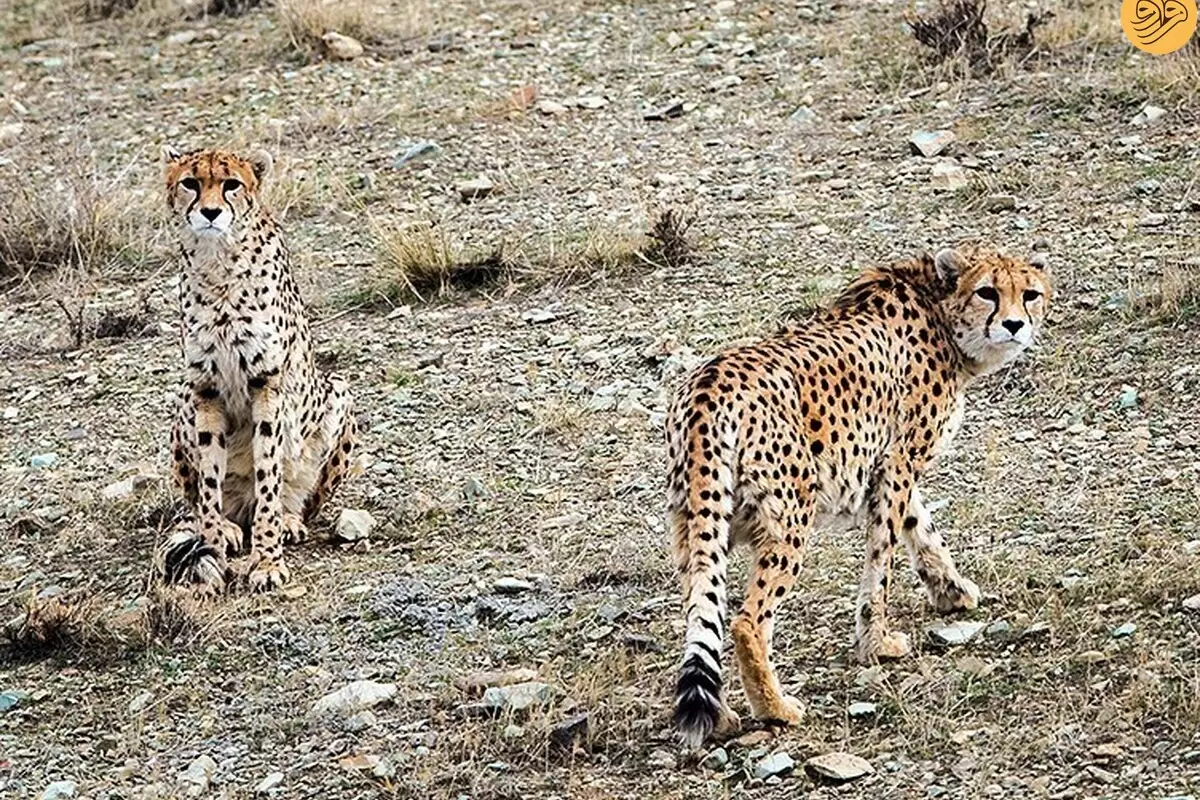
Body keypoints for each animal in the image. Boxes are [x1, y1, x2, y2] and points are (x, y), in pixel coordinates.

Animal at [158, 146, 355, 592]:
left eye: (231, 184)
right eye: (190, 183)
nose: (210, 212)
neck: (217, 263)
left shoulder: (267, 384)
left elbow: (268, 474)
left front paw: (266, 561)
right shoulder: (205, 389)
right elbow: (209, 483)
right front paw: (213, 552)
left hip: (338, 392)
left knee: (293, 497)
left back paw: (288, 520)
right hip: (182, 400)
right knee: (206, 500)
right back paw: (229, 528)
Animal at [672, 244, 1056, 743]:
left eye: (1030, 294)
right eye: (987, 292)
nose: (1014, 325)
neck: (940, 310)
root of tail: (709, 384)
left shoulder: (888, 464)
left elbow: (920, 526)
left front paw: (951, 590)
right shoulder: (897, 462)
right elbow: (883, 557)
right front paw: (877, 642)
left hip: (696, 525)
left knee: (703, 610)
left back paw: (720, 715)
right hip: (789, 516)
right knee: (746, 619)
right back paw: (776, 708)